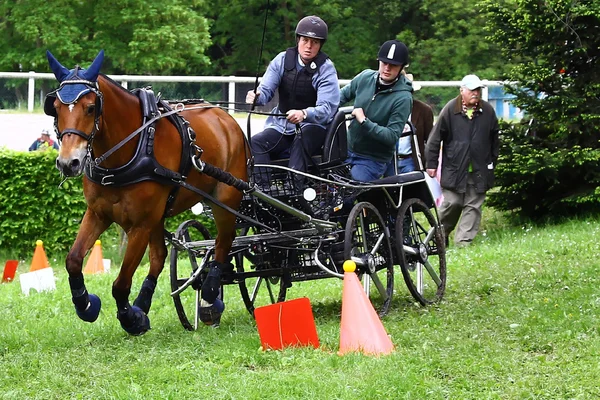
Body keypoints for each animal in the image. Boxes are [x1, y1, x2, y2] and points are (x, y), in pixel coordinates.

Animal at [43, 50, 247, 338]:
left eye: (91, 107)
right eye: (56, 107)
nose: (68, 163)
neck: (129, 151)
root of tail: (227, 119)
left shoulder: (139, 224)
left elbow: (120, 282)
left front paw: (131, 318)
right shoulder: (98, 214)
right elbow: (73, 260)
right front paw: (87, 305)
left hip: (224, 199)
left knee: (223, 241)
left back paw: (208, 296)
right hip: (160, 215)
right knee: (160, 256)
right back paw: (144, 302)